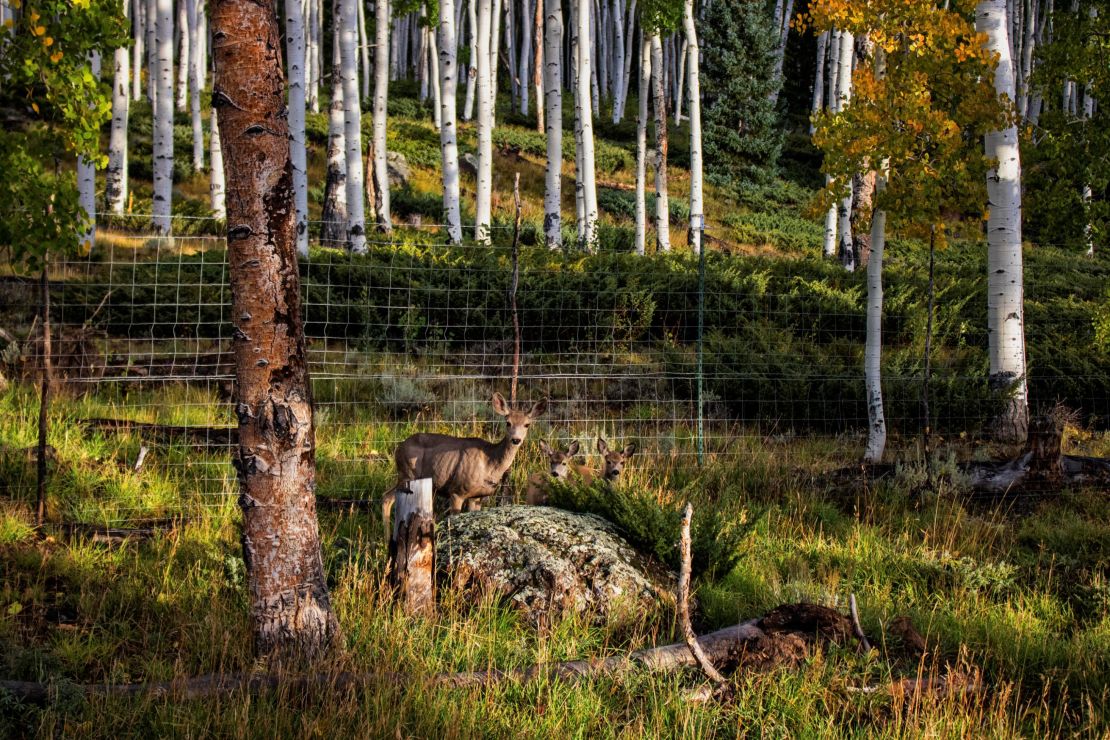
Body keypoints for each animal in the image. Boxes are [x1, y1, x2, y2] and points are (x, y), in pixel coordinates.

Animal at [384, 392, 548, 539]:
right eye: (508, 423)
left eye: (527, 424)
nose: (516, 440)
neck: (490, 462)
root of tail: (398, 448)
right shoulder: (457, 490)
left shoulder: (477, 496)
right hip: (407, 473)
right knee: (387, 497)